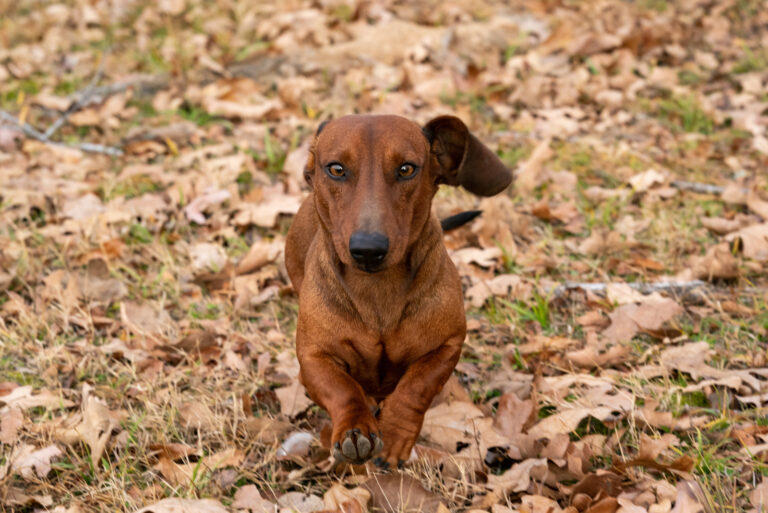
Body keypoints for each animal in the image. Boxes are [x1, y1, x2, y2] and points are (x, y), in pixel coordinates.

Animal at [282, 115, 510, 468]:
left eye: (406, 169)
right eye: (336, 169)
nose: (368, 249)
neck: (377, 289)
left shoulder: (447, 345)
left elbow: (416, 388)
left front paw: (394, 436)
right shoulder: (313, 357)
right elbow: (342, 390)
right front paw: (355, 428)